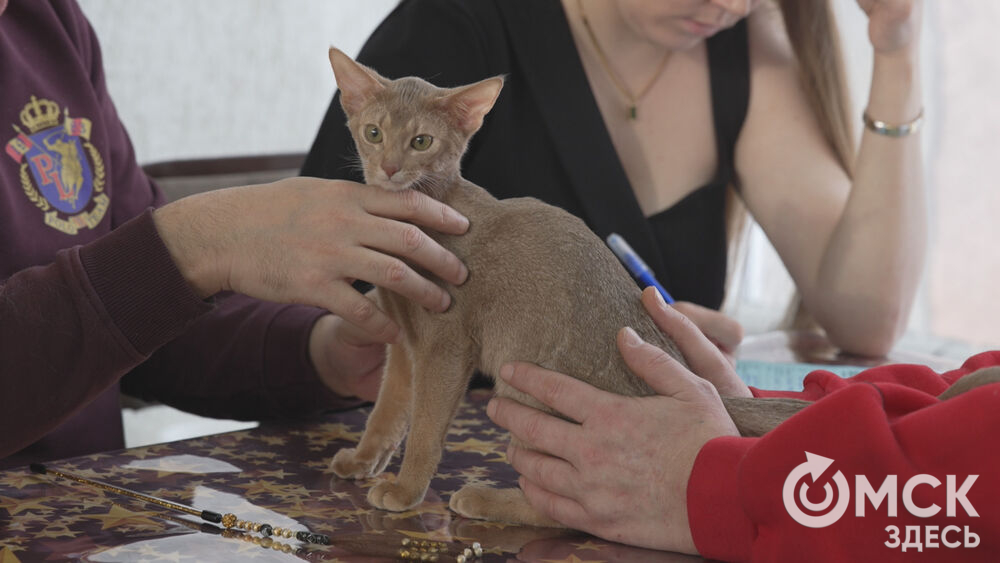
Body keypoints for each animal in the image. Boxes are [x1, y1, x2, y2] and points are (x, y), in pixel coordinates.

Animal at [322, 48, 1000, 528]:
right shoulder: (403, 343)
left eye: (422, 141)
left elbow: (427, 426)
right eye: (374, 132)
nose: (388, 169)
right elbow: (387, 411)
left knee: (565, 512)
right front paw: (363, 460)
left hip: (525, 377)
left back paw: (490, 501)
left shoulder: (445, 344)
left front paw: (406, 490)